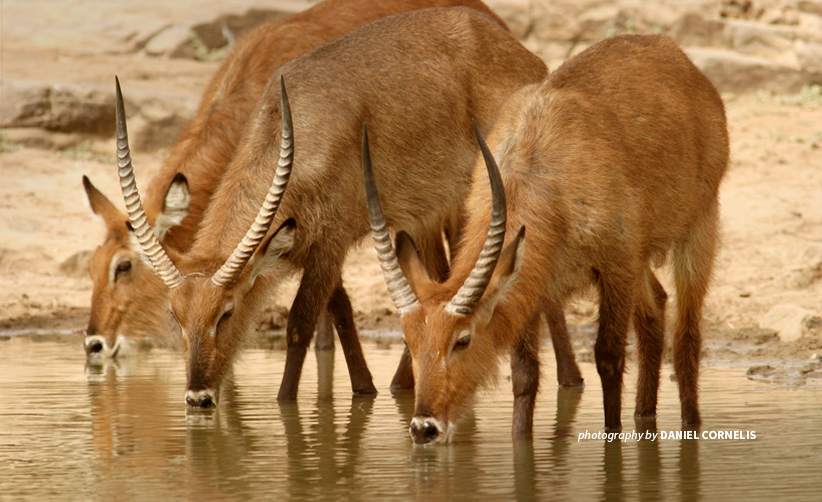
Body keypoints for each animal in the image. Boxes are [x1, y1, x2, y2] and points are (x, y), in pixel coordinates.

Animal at [114, 6, 552, 408]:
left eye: (226, 312)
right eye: (175, 315)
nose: (198, 397)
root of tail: (520, 51)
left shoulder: (330, 243)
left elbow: (300, 323)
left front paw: (286, 403)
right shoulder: (318, 247)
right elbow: (341, 309)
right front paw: (365, 388)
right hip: (427, 213)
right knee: (439, 279)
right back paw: (404, 383)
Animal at [370, 34, 732, 444]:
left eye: (462, 339)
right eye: (410, 341)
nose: (423, 427)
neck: (542, 174)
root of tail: (672, 50)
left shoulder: (617, 267)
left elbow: (608, 358)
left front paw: (613, 442)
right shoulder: (531, 279)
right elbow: (525, 375)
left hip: (698, 227)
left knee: (686, 335)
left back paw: (690, 423)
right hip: (641, 260)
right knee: (655, 311)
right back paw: (644, 416)